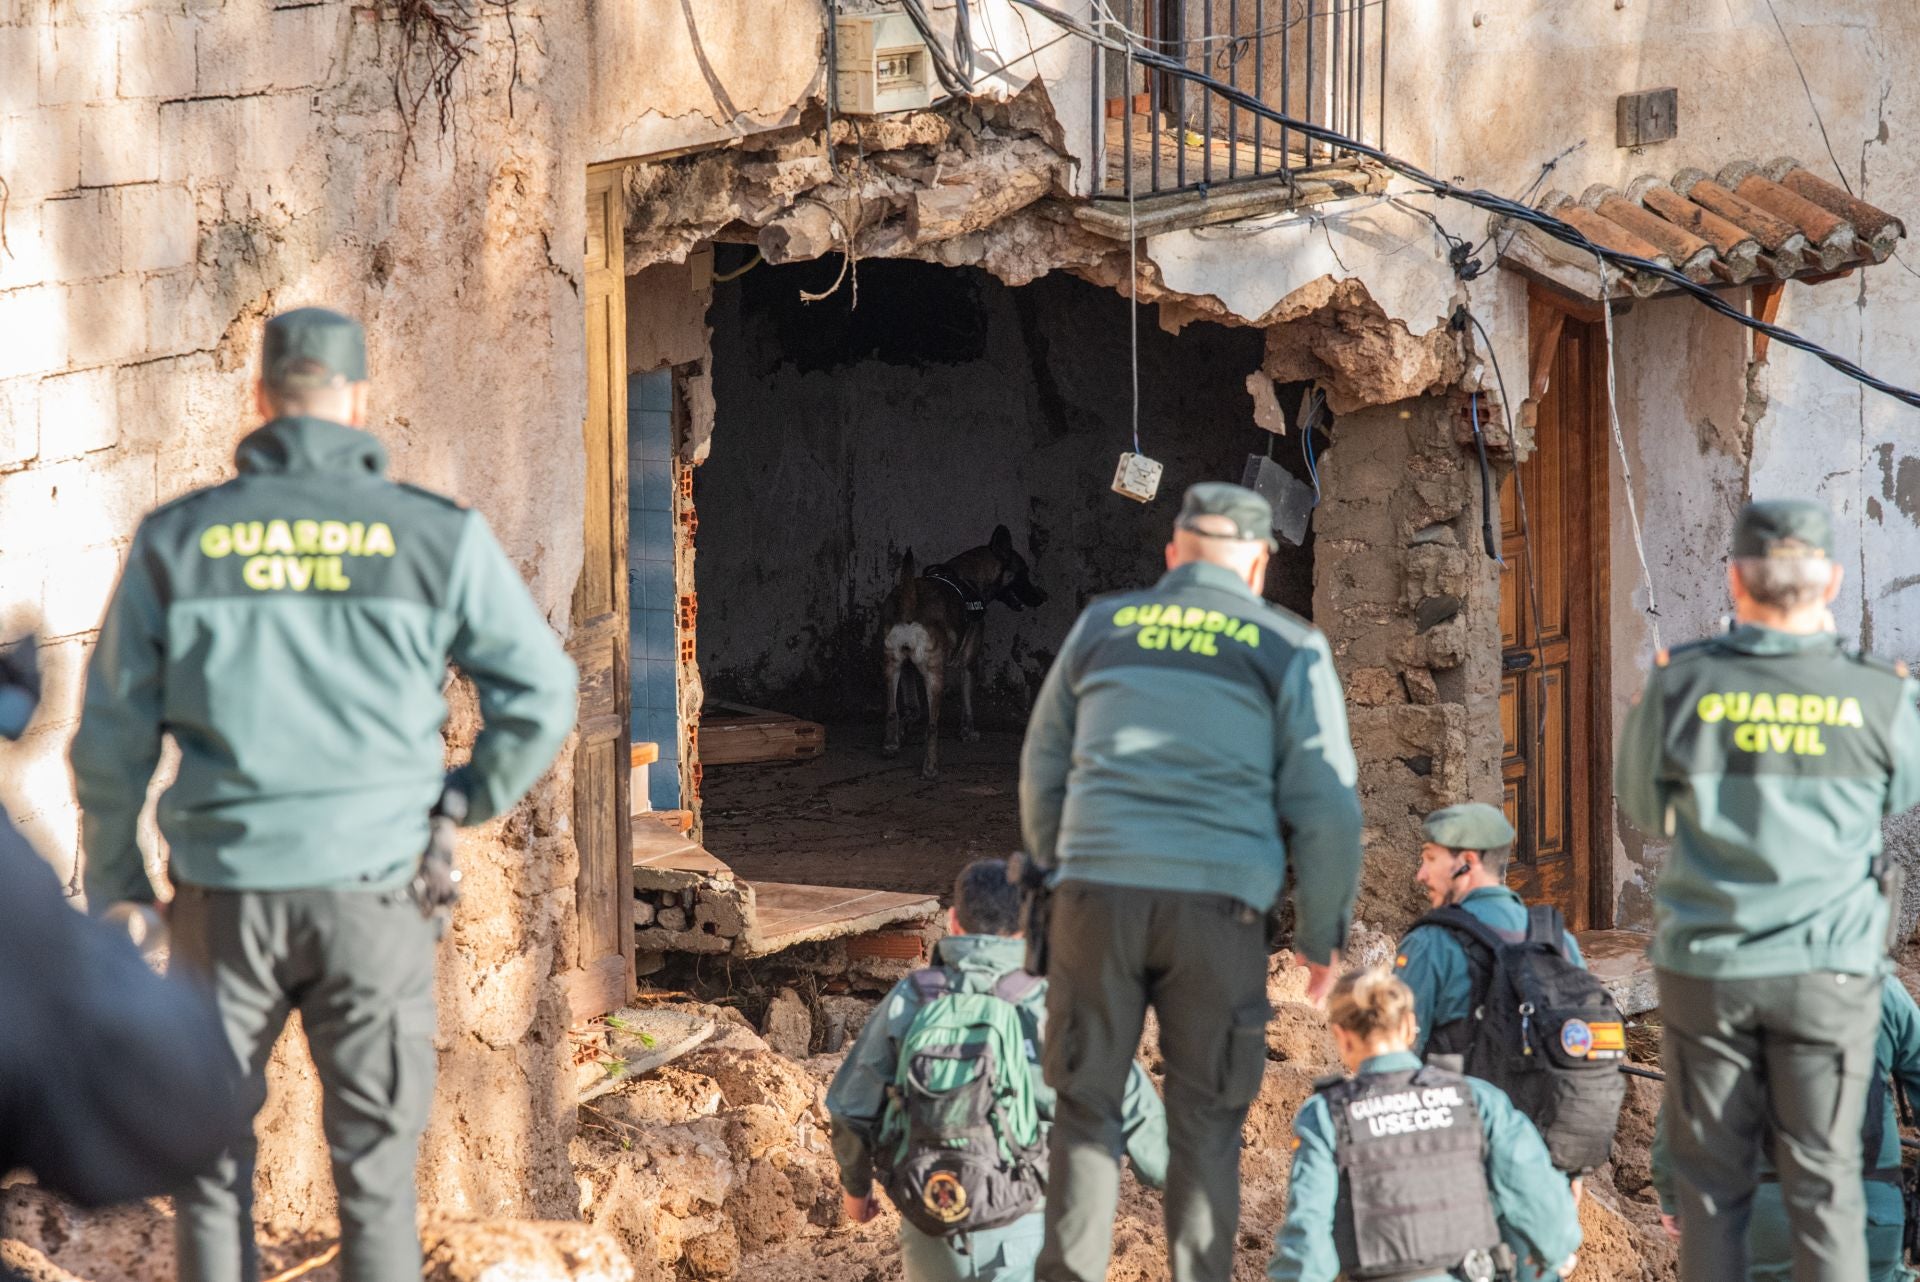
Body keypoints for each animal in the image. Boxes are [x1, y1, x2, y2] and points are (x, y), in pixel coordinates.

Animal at [883, 522, 1052, 783]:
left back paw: (891, 746)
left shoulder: (907, 668)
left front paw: (905, 727)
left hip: (892, 669)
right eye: (1023, 572)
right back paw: (931, 768)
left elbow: (911, 708)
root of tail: (910, 604)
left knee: (892, 711)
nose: (1043, 597)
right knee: (932, 726)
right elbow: (967, 702)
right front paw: (967, 732)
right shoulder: (969, 663)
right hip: (935, 677)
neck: (967, 576)